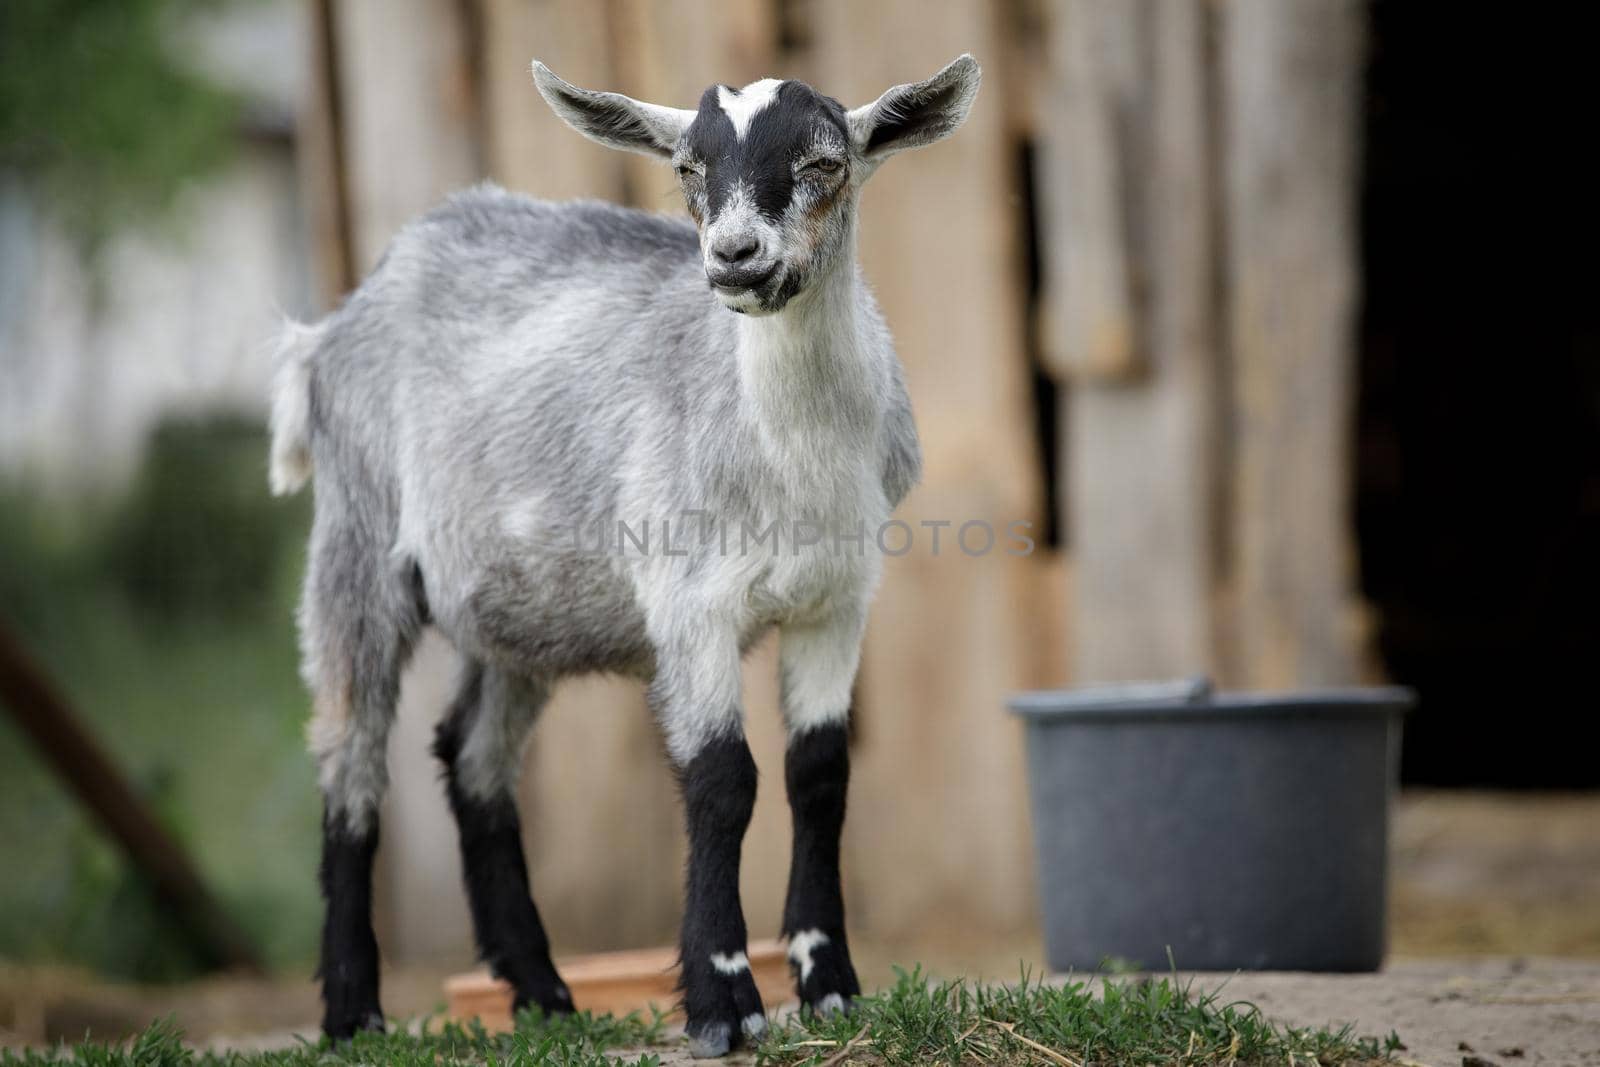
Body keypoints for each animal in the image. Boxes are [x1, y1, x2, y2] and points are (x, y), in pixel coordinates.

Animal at [268, 54, 979, 1055]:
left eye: (824, 163)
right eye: (687, 169)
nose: (736, 256)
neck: (788, 455)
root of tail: (338, 322)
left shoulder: (838, 599)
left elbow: (819, 773)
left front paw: (830, 981)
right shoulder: (691, 601)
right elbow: (722, 779)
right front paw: (723, 1001)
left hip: (518, 606)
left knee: (472, 759)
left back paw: (542, 993)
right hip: (358, 540)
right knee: (351, 758)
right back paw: (352, 1010)